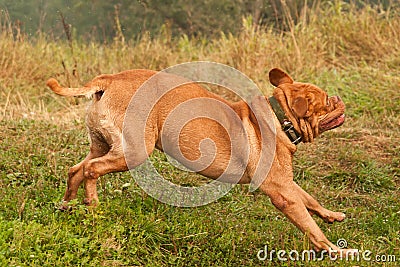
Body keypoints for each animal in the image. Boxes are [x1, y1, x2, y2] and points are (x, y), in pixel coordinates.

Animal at [48, 68, 352, 254]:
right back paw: (93, 205)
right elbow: (311, 226)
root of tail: (109, 80)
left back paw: (66, 205)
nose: (339, 97)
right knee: (91, 170)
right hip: (133, 152)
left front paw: (331, 215)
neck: (280, 119)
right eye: (326, 102)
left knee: (76, 170)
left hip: (103, 145)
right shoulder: (281, 192)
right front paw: (337, 250)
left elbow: (309, 200)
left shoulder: (285, 183)